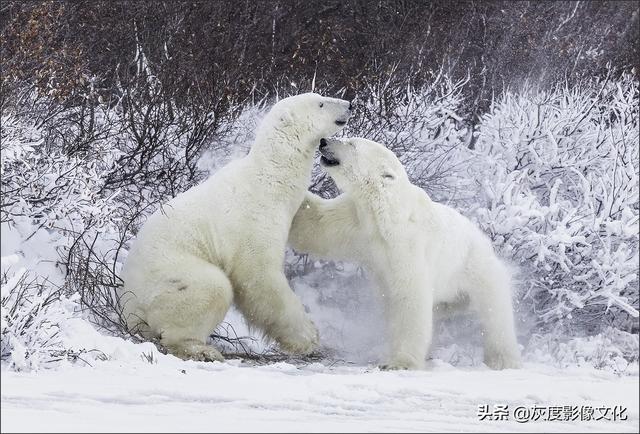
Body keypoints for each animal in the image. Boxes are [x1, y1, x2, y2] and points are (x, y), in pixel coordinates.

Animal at [120, 93, 350, 362]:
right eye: (320, 103)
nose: (349, 105)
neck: (271, 176)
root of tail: (128, 307)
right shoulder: (252, 218)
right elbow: (259, 277)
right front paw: (307, 337)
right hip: (169, 277)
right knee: (211, 288)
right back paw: (202, 349)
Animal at [288, 136, 520, 370]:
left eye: (352, 144)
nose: (324, 141)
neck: (385, 213)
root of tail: (485, 242)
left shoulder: (407, 244)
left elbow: (410, 297)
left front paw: (399, 362)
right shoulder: (356, 222)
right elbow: (316, 224)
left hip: (477, 270)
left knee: (496, 314)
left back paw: (502, 359)